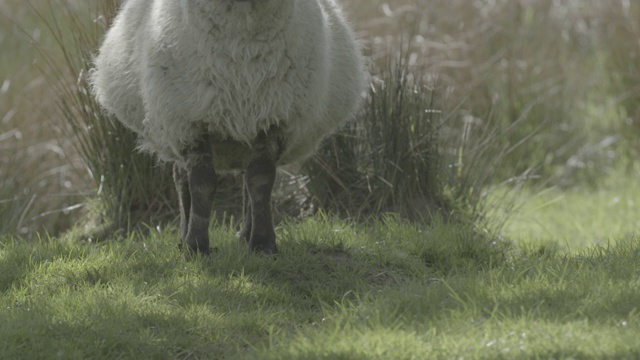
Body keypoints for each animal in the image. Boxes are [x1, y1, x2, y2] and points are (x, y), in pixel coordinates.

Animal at [91, 0, 370, 255]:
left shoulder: (273, 119)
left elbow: (261, 179)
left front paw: (262, 243)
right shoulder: (190, 122)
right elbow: (201, 182)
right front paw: (196, 246)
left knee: (247, 177)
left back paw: (245, 233)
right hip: (173, 125)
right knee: (182, 180)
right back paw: (184, 236)